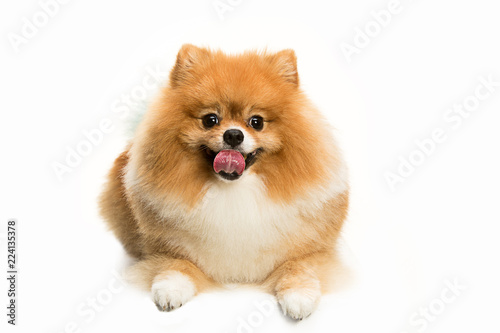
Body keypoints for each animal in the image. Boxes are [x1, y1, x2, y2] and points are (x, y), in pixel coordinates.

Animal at [99, 44, 350, 320]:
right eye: (210, 119)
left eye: (256, 122)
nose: (233, 135)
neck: (233, 191)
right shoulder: (163, 246)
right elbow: (177, 263)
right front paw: (171, 289)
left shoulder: (313, 251)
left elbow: (298, 266)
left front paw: (299, 296)